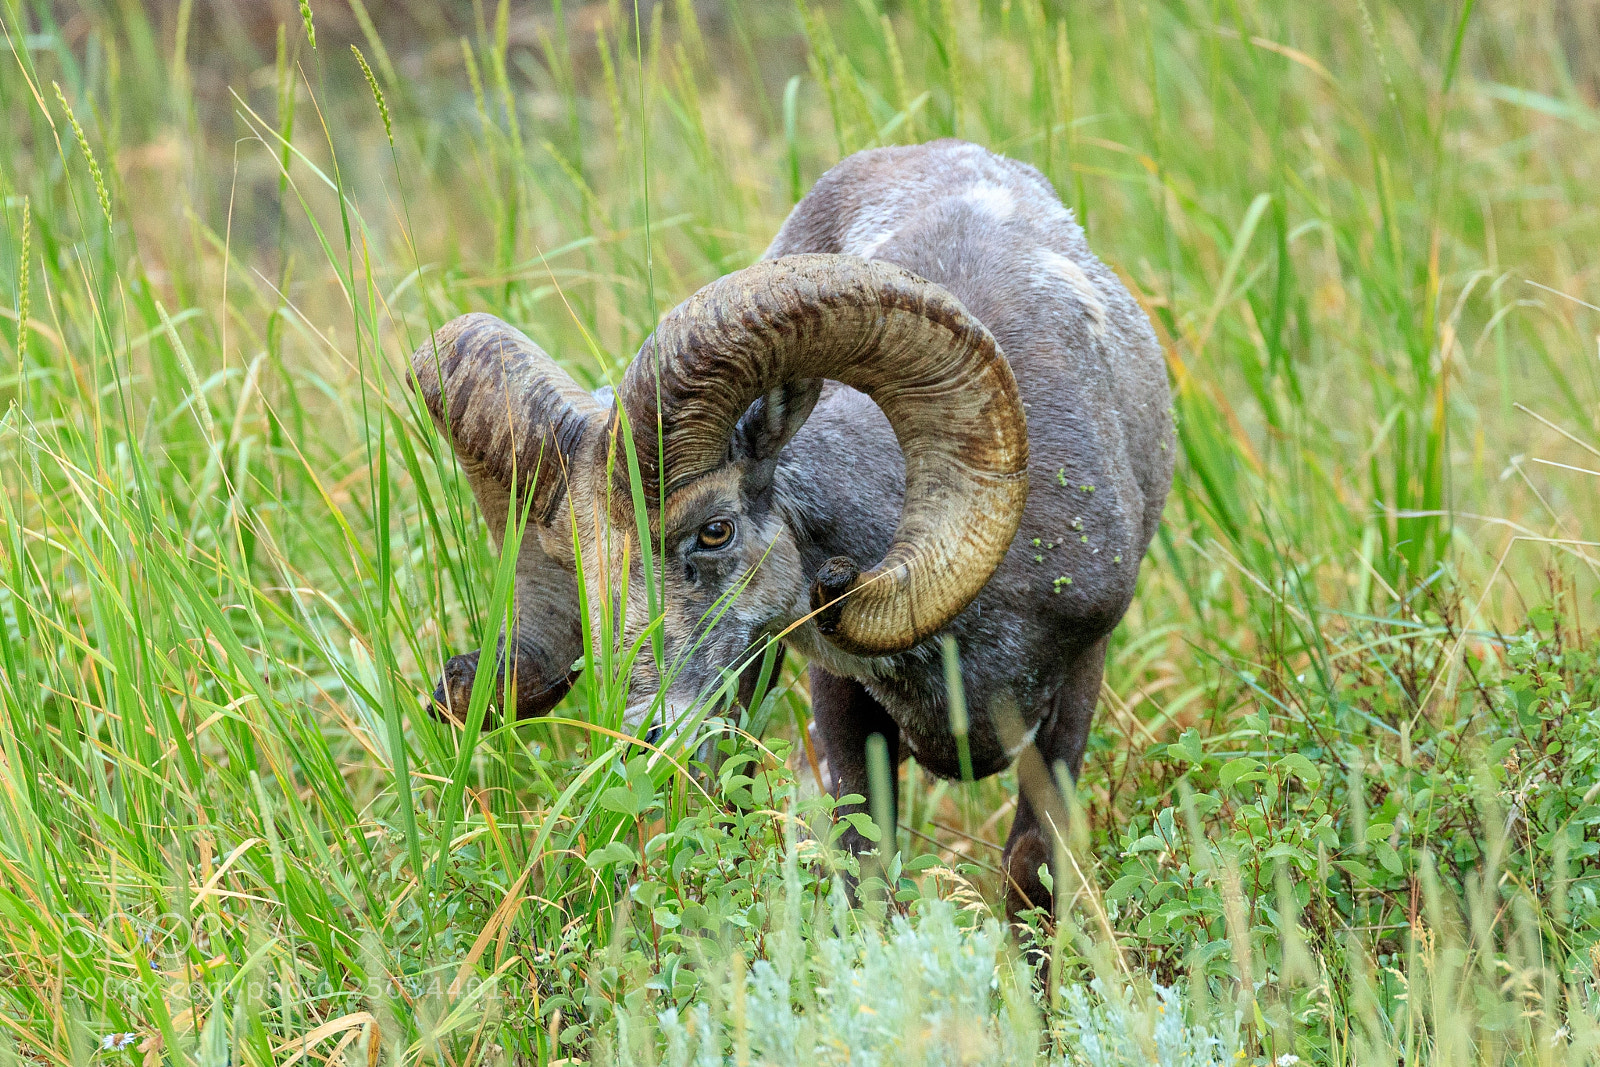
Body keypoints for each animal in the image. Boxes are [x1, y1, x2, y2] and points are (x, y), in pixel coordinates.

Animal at [411, 139, 1174, 919]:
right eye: (576, 560)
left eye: (714, 531)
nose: (645, 737)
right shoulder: (843, 703)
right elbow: (862, 862)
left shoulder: (1074, 685)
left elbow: (1029, 869)